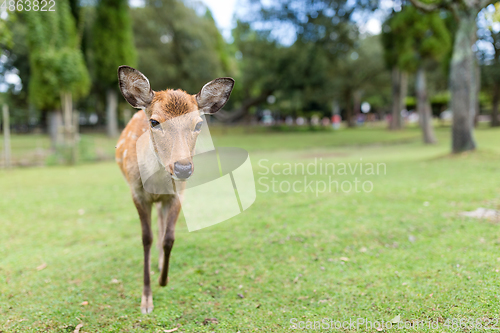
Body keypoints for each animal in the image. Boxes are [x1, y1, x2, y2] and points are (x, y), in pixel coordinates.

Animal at [115, 66, 234, 312]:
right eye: (154, 122)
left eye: (198, 124)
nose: (182, 168)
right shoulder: (137, 193)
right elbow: (146, 238)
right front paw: (146, 299)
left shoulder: (179, 193)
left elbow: (169, 237)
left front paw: (164, 279)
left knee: (161, 225)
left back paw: (161, 263)